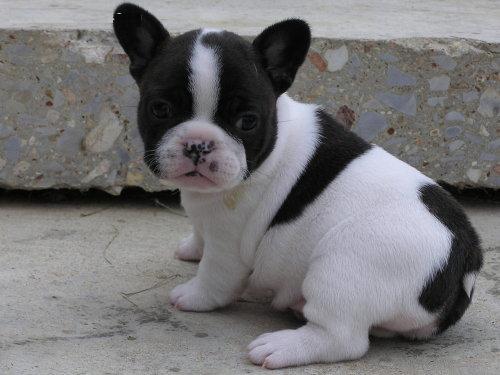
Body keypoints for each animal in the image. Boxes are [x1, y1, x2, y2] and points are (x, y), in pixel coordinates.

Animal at [112, 2, 480, 370]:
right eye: (160, 109)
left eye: (248, 121)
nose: (198, 144)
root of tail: (466, 256)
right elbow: (199, 235)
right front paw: (191, 248)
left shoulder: (229, 241)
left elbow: (215, 275)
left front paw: (193, 295)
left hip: (346, 264)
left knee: (343, 339)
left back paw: (281, 346)